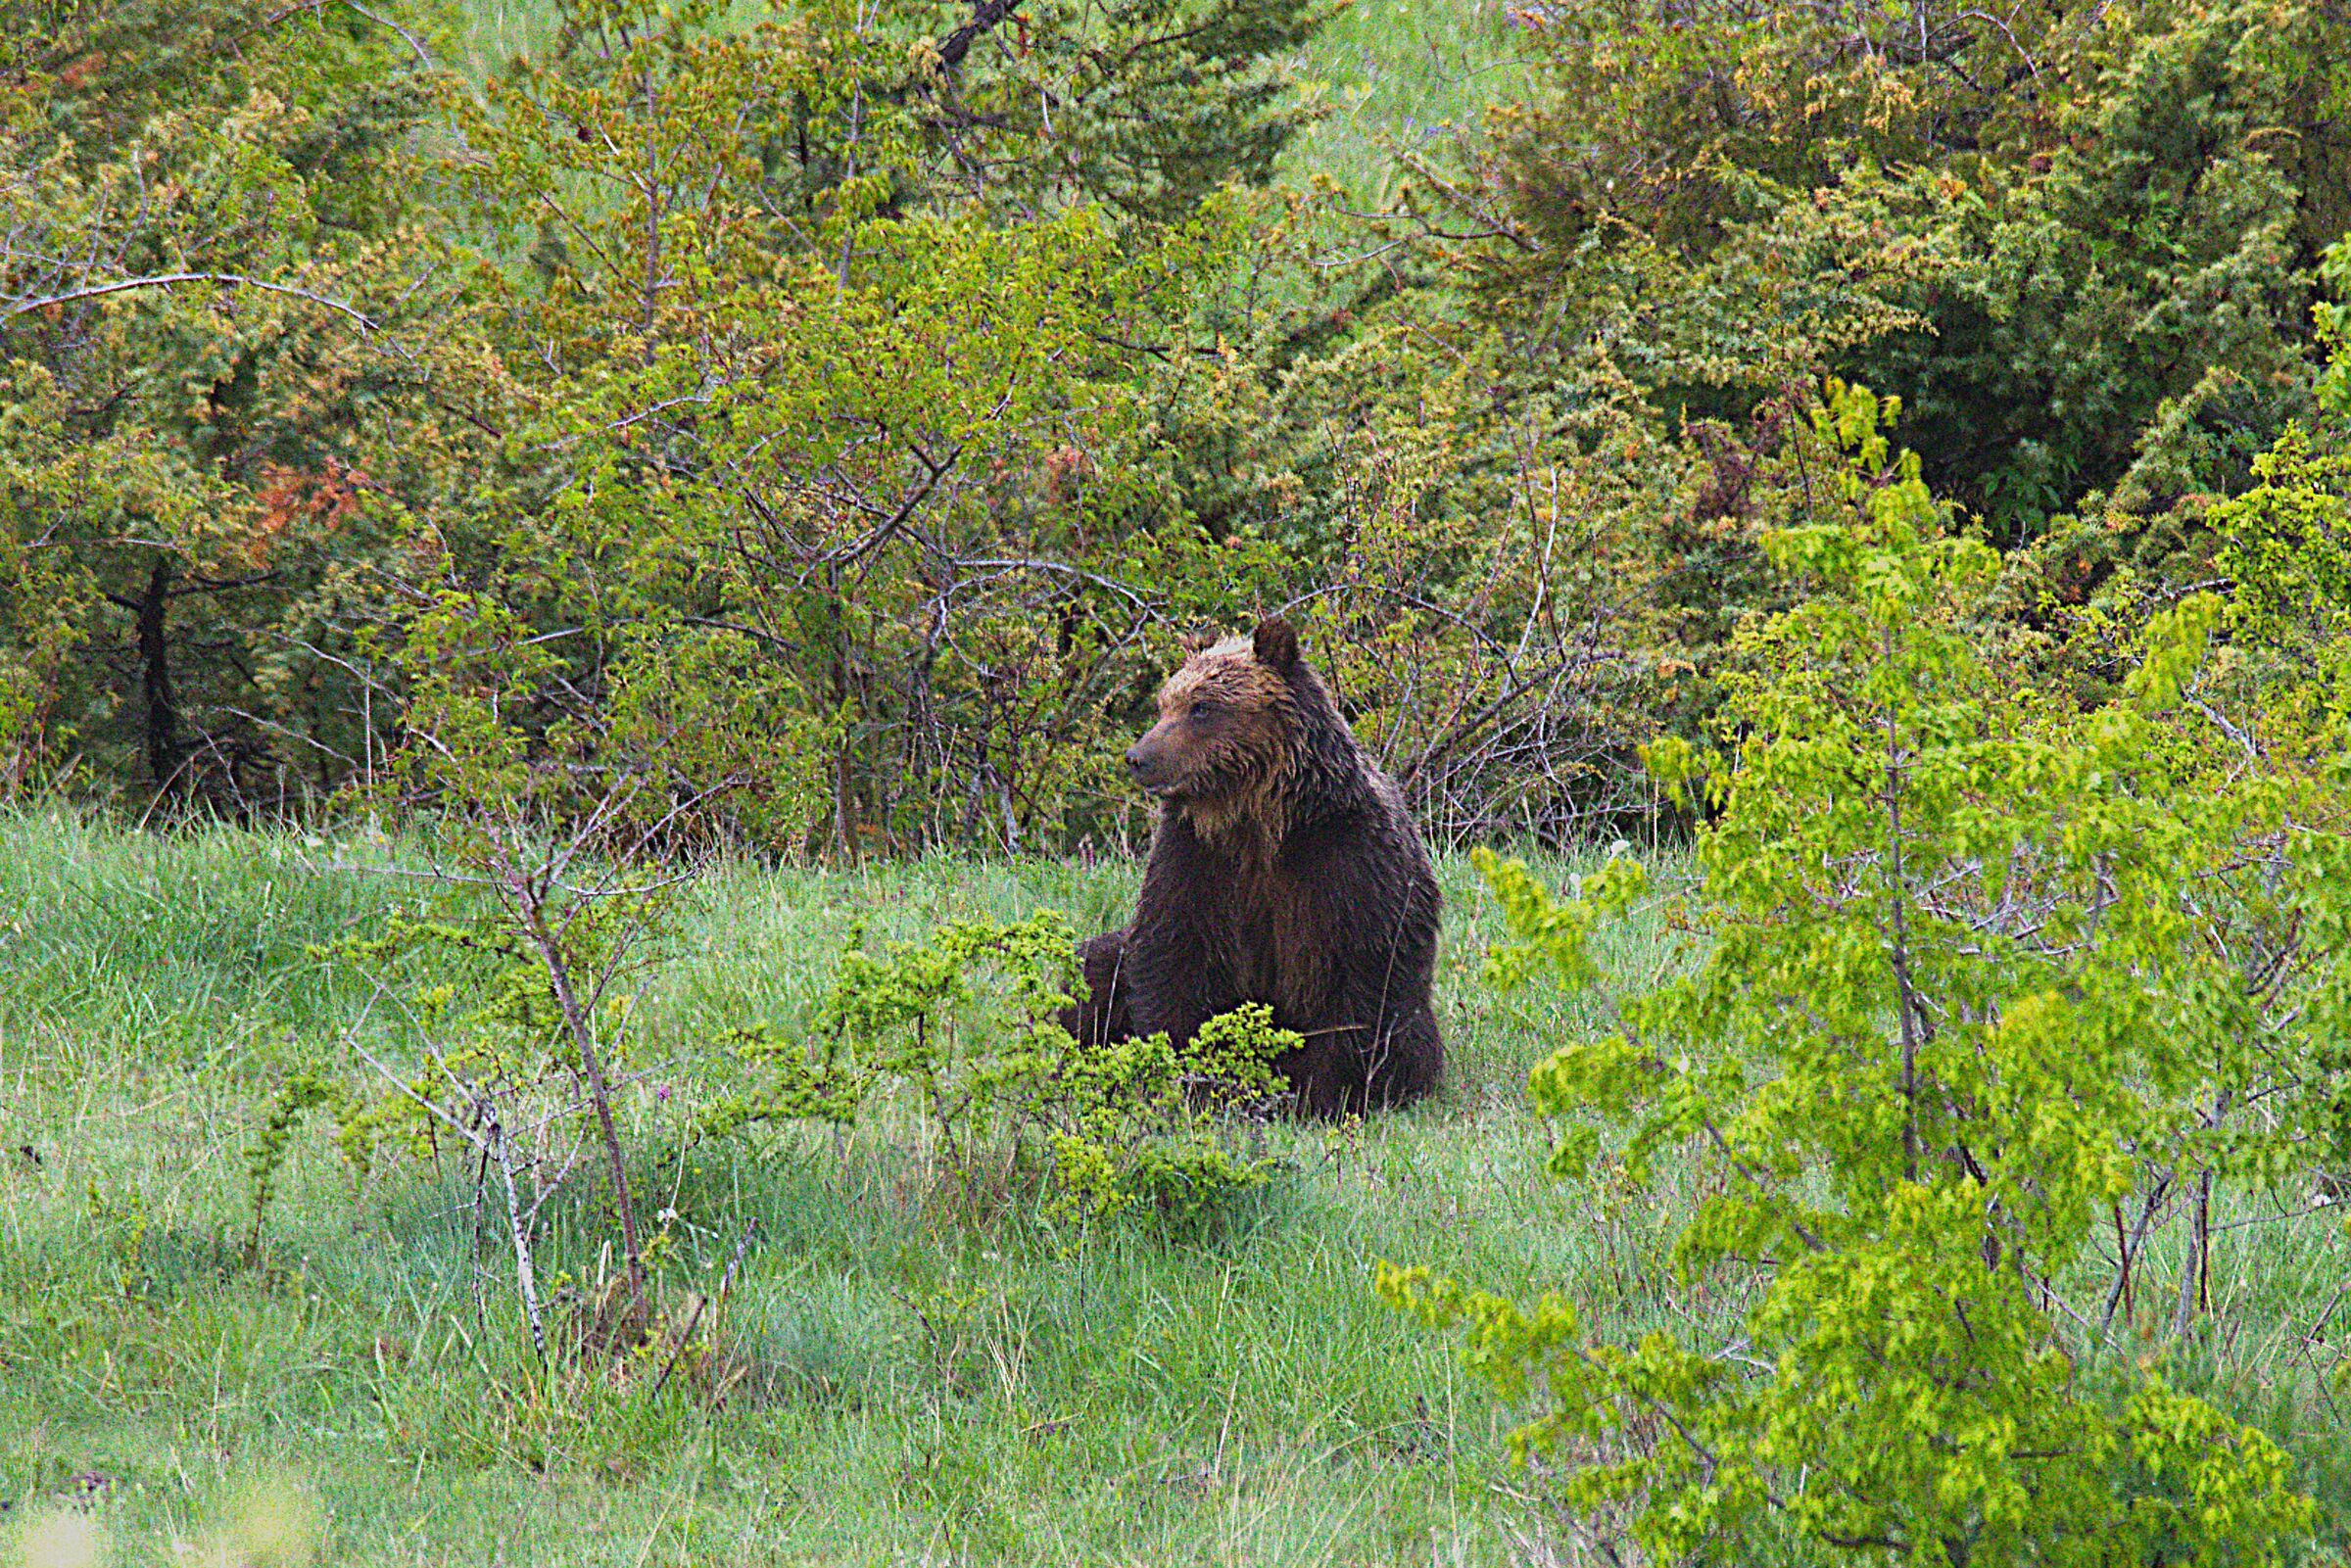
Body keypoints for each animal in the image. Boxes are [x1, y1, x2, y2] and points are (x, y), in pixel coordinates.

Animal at [1059, 618, 1444, 1117]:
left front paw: (1326, 1094)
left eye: (1201, 707)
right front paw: (1188, 1079)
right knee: (1093, 967)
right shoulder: (1196, 860)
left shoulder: (1346, 860)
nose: (1138, 758)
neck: (1256, 818)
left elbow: (1358, 979)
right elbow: (1174, 956)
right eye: (1166, 703)